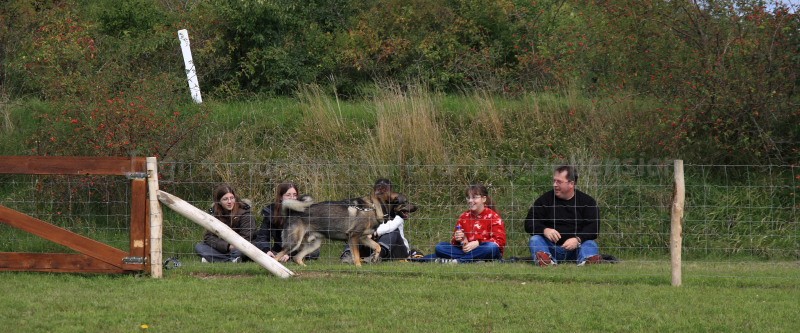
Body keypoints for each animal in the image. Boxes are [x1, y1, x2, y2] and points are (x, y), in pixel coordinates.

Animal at [276, 189, 418, 264]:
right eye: (405, 202)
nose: (417, 207)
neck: (374, 208)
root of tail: (292, 212)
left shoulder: (363, 238)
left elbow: (377, 246)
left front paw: (374, 257)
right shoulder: (354, 237)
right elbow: (357, 257)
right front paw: (359, 267)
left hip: (314, 244)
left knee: (297, 257)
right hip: (294, 243)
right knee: (278, 256)